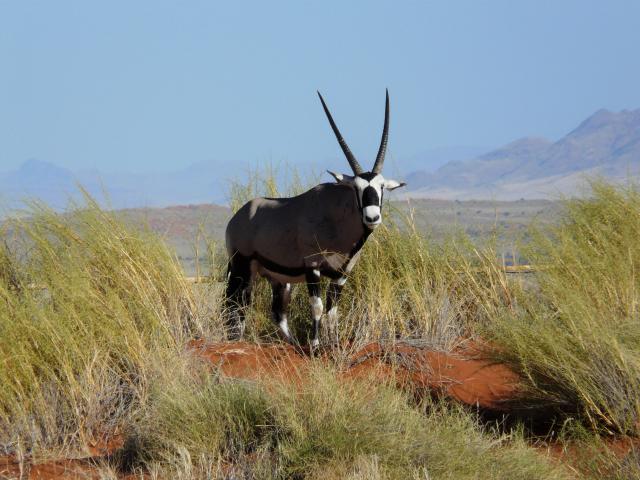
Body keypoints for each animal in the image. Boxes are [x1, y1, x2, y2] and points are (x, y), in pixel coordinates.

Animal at [225, 90, 404, 344]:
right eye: (356, 188)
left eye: (381, 188)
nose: (372, 217)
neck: (338, 223)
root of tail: (239, 216)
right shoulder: (313, 268)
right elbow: (317, 308)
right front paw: (317, 344)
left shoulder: (341, 276)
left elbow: (332, 311)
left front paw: (334, 343)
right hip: (242, 267)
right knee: (237, 305)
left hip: (279, 279)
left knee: (278, 312)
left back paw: (293, 344)